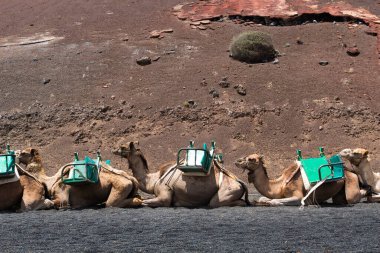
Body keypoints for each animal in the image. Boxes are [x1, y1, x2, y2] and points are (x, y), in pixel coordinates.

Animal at [111, 142, 251, 208]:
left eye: (123, 147)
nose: (113, 149)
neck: (153, 180)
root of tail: (239, 182)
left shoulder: (164, 195)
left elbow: (144, 202)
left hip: (226, 191)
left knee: (217, 202)